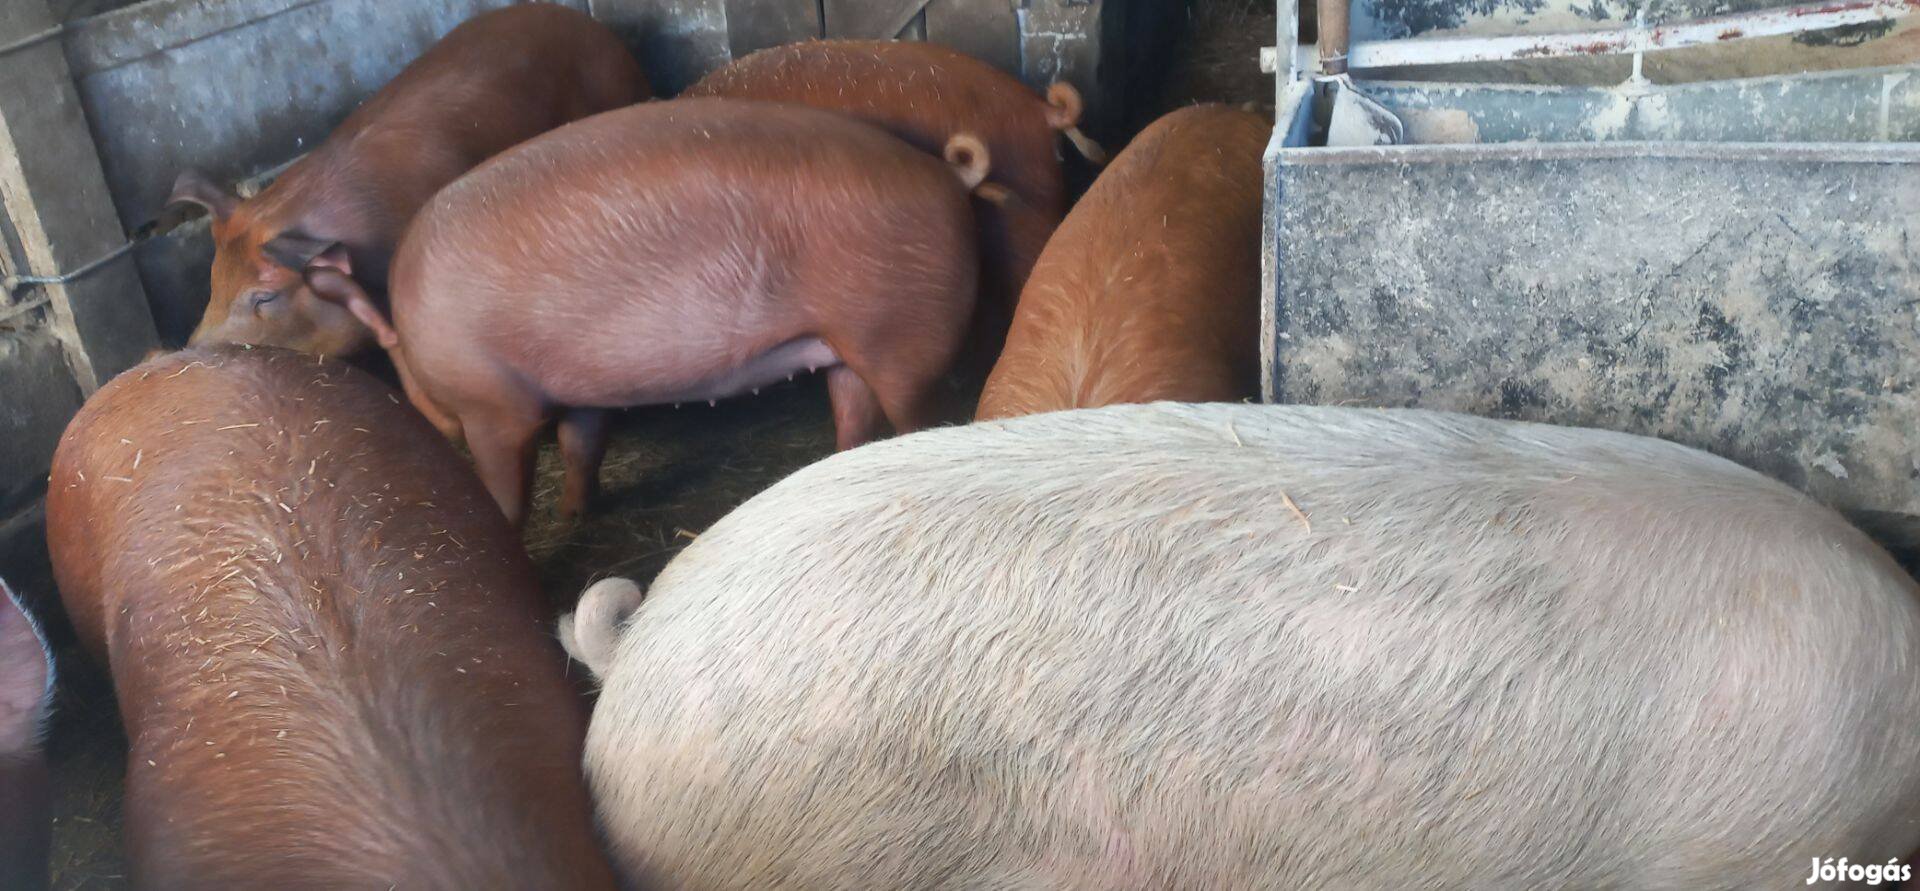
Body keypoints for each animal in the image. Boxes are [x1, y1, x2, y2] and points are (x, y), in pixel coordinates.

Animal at [340, 98, 992, 525]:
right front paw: (576, 515)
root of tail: (945, 171)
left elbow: (507, 489)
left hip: (907, 339)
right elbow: (580, 446)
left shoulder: (492, 408)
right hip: (848, 346)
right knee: (853, 415)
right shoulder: (583, 392)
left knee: (920, 416)